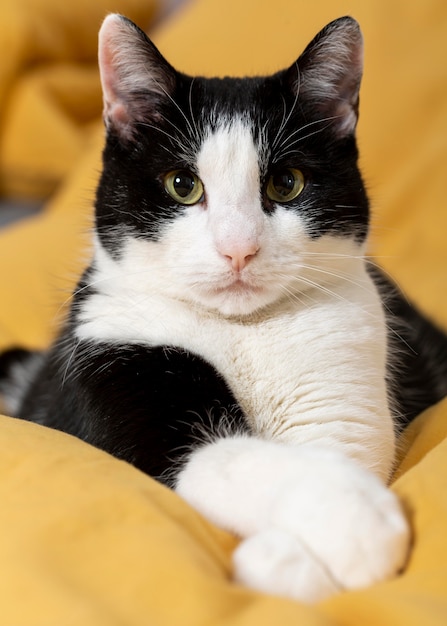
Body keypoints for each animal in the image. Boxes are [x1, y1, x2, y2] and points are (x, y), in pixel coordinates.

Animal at [0, 13, 447, 600]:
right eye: (182, 185)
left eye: (287, 183)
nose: (239, 247)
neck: (244, 329)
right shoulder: (114, 364)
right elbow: (228, 458)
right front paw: (354, 523)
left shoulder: (345, 380)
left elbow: (335, 448)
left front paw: (288, 558)